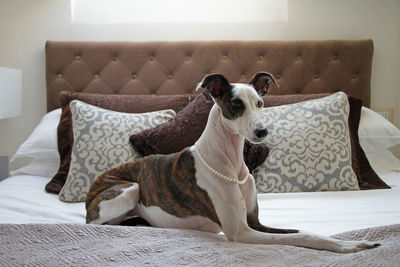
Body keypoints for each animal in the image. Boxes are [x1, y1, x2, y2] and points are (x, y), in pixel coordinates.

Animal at [86, 73, 380, 253]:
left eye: (260, 102)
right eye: (236, 104)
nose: (262, 132)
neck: (232, 165)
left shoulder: (255, 223)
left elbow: (303, 231)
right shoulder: (242, 232)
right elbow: (302, 236)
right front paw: (349, 247)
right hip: (129, 189)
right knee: (98, 225)